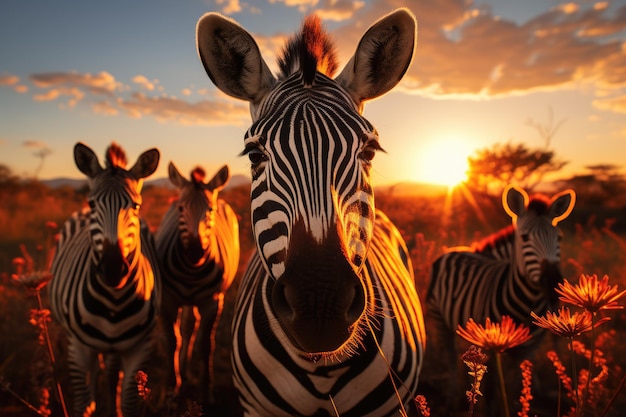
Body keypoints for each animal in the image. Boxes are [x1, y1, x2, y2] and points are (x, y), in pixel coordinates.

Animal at [50, 141, 161, 414]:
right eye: (93, 205)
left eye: (136, 206)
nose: (113, 269)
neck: (114, 301)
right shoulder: (78, 347)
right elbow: (83, 404)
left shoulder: (139, 347)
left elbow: (129, 402)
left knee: (111, 374)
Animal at [154, 162, 239, 400]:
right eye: (181, 209)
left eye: (210, 211)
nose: (194, 251)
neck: (191, 270)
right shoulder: (167, 300)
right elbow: (172, 341)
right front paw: (171, 388)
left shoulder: (212, 301)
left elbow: (205, 344)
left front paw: (205, 389)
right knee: (186, 329)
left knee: (190, 328)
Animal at [424, 184, 576, 412]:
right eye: (524, 238)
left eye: (559, 239)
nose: (553, 286)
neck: (527, 302)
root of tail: (454, 249)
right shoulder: (490, 345)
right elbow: (491, 389)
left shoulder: (527, 350)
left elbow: (514, 384)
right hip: (439, 318)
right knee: (450, 357)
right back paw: (451, 398)